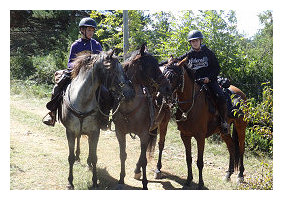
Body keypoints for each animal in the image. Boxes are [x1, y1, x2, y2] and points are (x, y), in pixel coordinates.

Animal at [60, 50, 135, 189]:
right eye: (111, 68)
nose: (130, 93)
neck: (82, 100)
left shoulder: (94, 132)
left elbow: (94, 157)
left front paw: (94, 181)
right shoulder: (70, 131)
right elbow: (70, 157)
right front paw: (70, 182)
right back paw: (79, 157)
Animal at [112, 43, 171, 189]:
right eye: (152, 66)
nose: (168, 87)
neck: (129, 107)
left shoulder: (143, 134)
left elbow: (144, 159)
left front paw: (145, 183)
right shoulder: (120, 133)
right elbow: (123, 155)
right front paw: (121, 179)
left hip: (163, 124)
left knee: (160, 145)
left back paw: (157, 170)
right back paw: (137, 170)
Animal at [156, 57, 247, 189]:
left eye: (173, 76)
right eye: (162, 74)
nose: (158, 98)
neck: (191, 105)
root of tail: (241, 94)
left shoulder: (200, 137)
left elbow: (199, 161)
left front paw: (200, 183)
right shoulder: (185, 136)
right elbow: (188, 158)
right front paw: (188, 180)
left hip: (241, 127)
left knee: (241, 149)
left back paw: (240, 176)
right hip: (223, 131)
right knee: (231, 147)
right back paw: (228, 175)